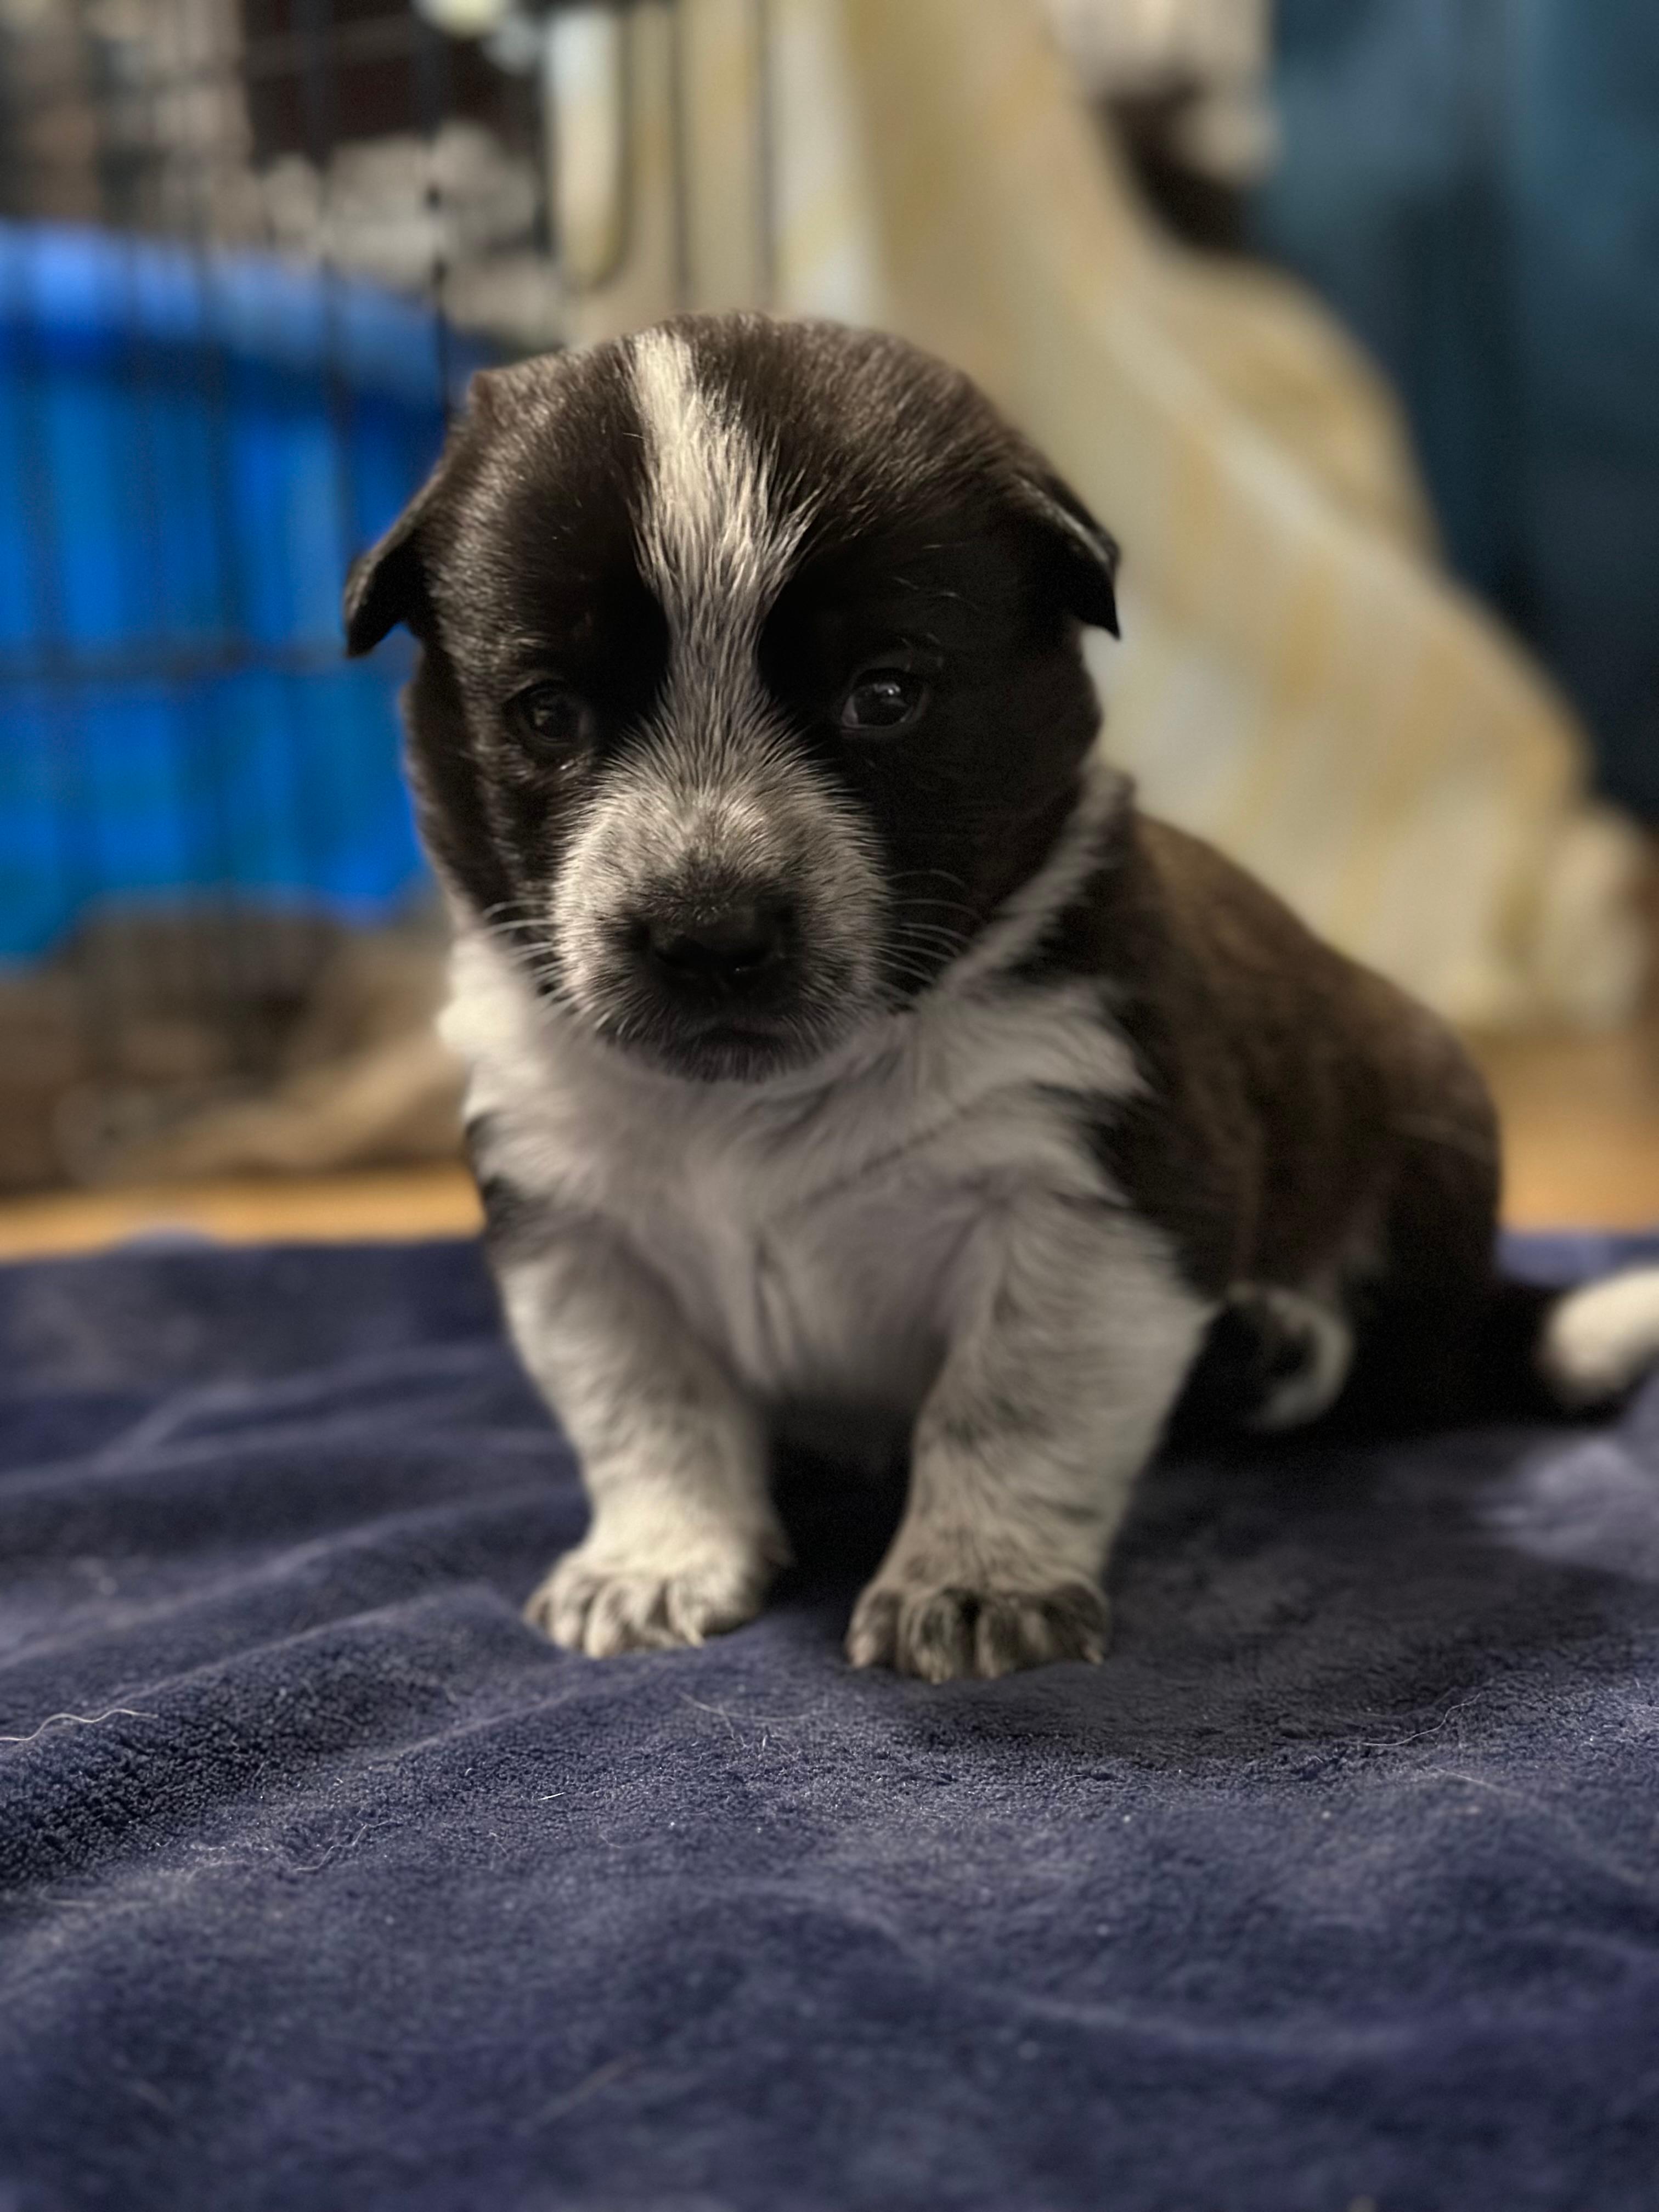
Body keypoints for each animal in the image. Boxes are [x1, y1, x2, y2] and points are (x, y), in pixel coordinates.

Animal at [340, 316, 1659, 1672]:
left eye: (884, 694)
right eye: (548, 713)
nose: (709, 934)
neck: (759, 1098)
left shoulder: (1089, 1194)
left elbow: (1007, 1402)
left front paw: (974, 1582)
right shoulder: (571, 1230)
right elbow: (646, 1405)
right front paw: (656, 1563)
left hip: (1431, 1138)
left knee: (1400, 1388)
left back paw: (1271, 1349)